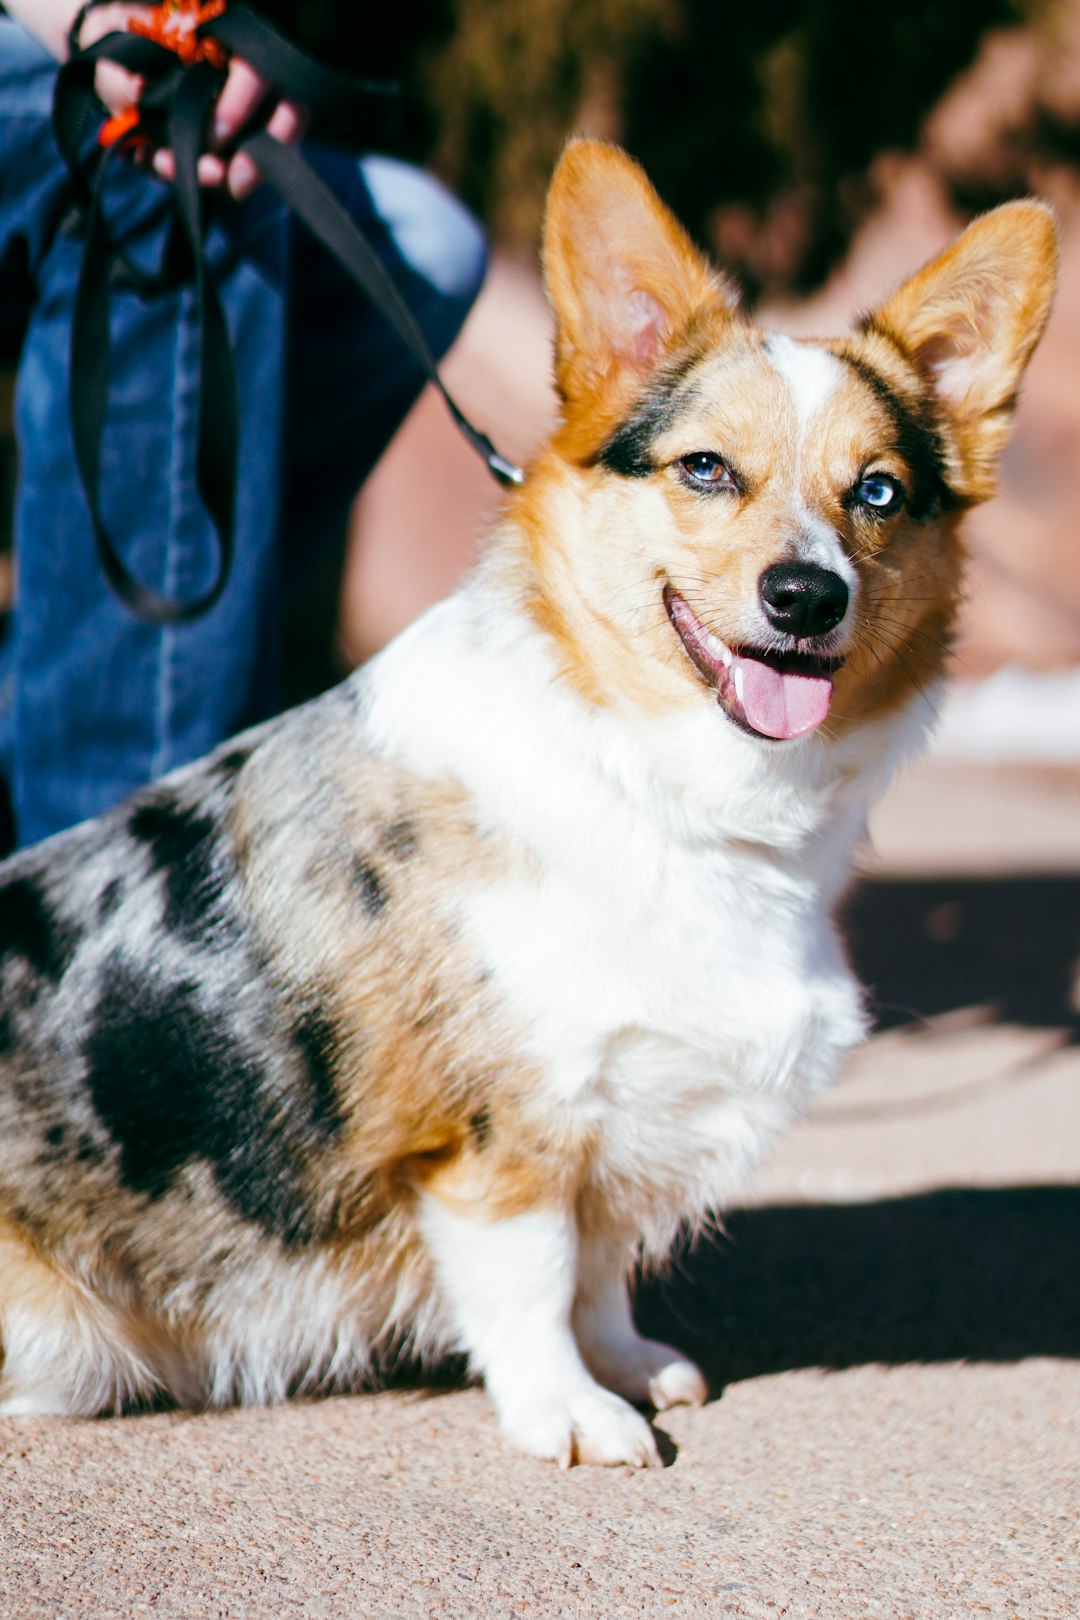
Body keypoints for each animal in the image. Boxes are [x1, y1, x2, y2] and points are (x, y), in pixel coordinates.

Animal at [0, 142, 1062, 1470]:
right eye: (705, 468)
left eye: (876, 492)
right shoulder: (503, 1133)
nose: (807, 596)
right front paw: (574, 1414)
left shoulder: (618, 1112)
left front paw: (633, 1366)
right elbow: (537, 1279)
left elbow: (599, 1270)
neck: (667, 790)